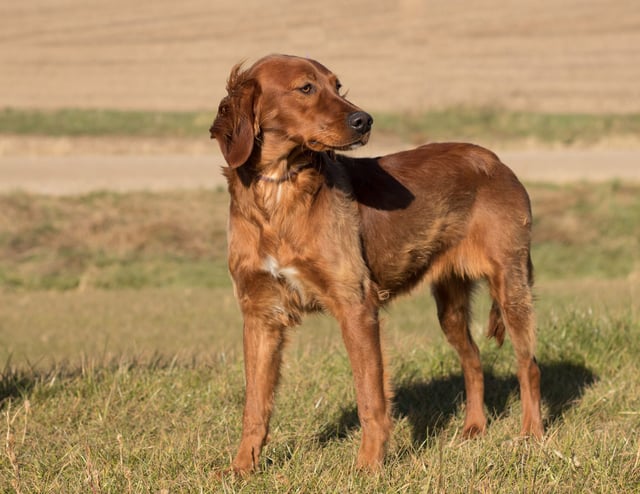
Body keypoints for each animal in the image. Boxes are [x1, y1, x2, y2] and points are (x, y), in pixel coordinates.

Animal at [209, 54, 540, 474]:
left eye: (337, 85)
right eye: (305, 88)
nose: (364, 120)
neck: (279, 192)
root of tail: (497, 161)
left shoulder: (356, 305)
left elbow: (370, 397)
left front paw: (368, 467)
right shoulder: (261, 313)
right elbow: (254, 404)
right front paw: (241, 469)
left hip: (510, 285)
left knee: (528, 364)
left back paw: (532, 436)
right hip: (450, 305)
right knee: (474, 360)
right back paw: (474, 429)